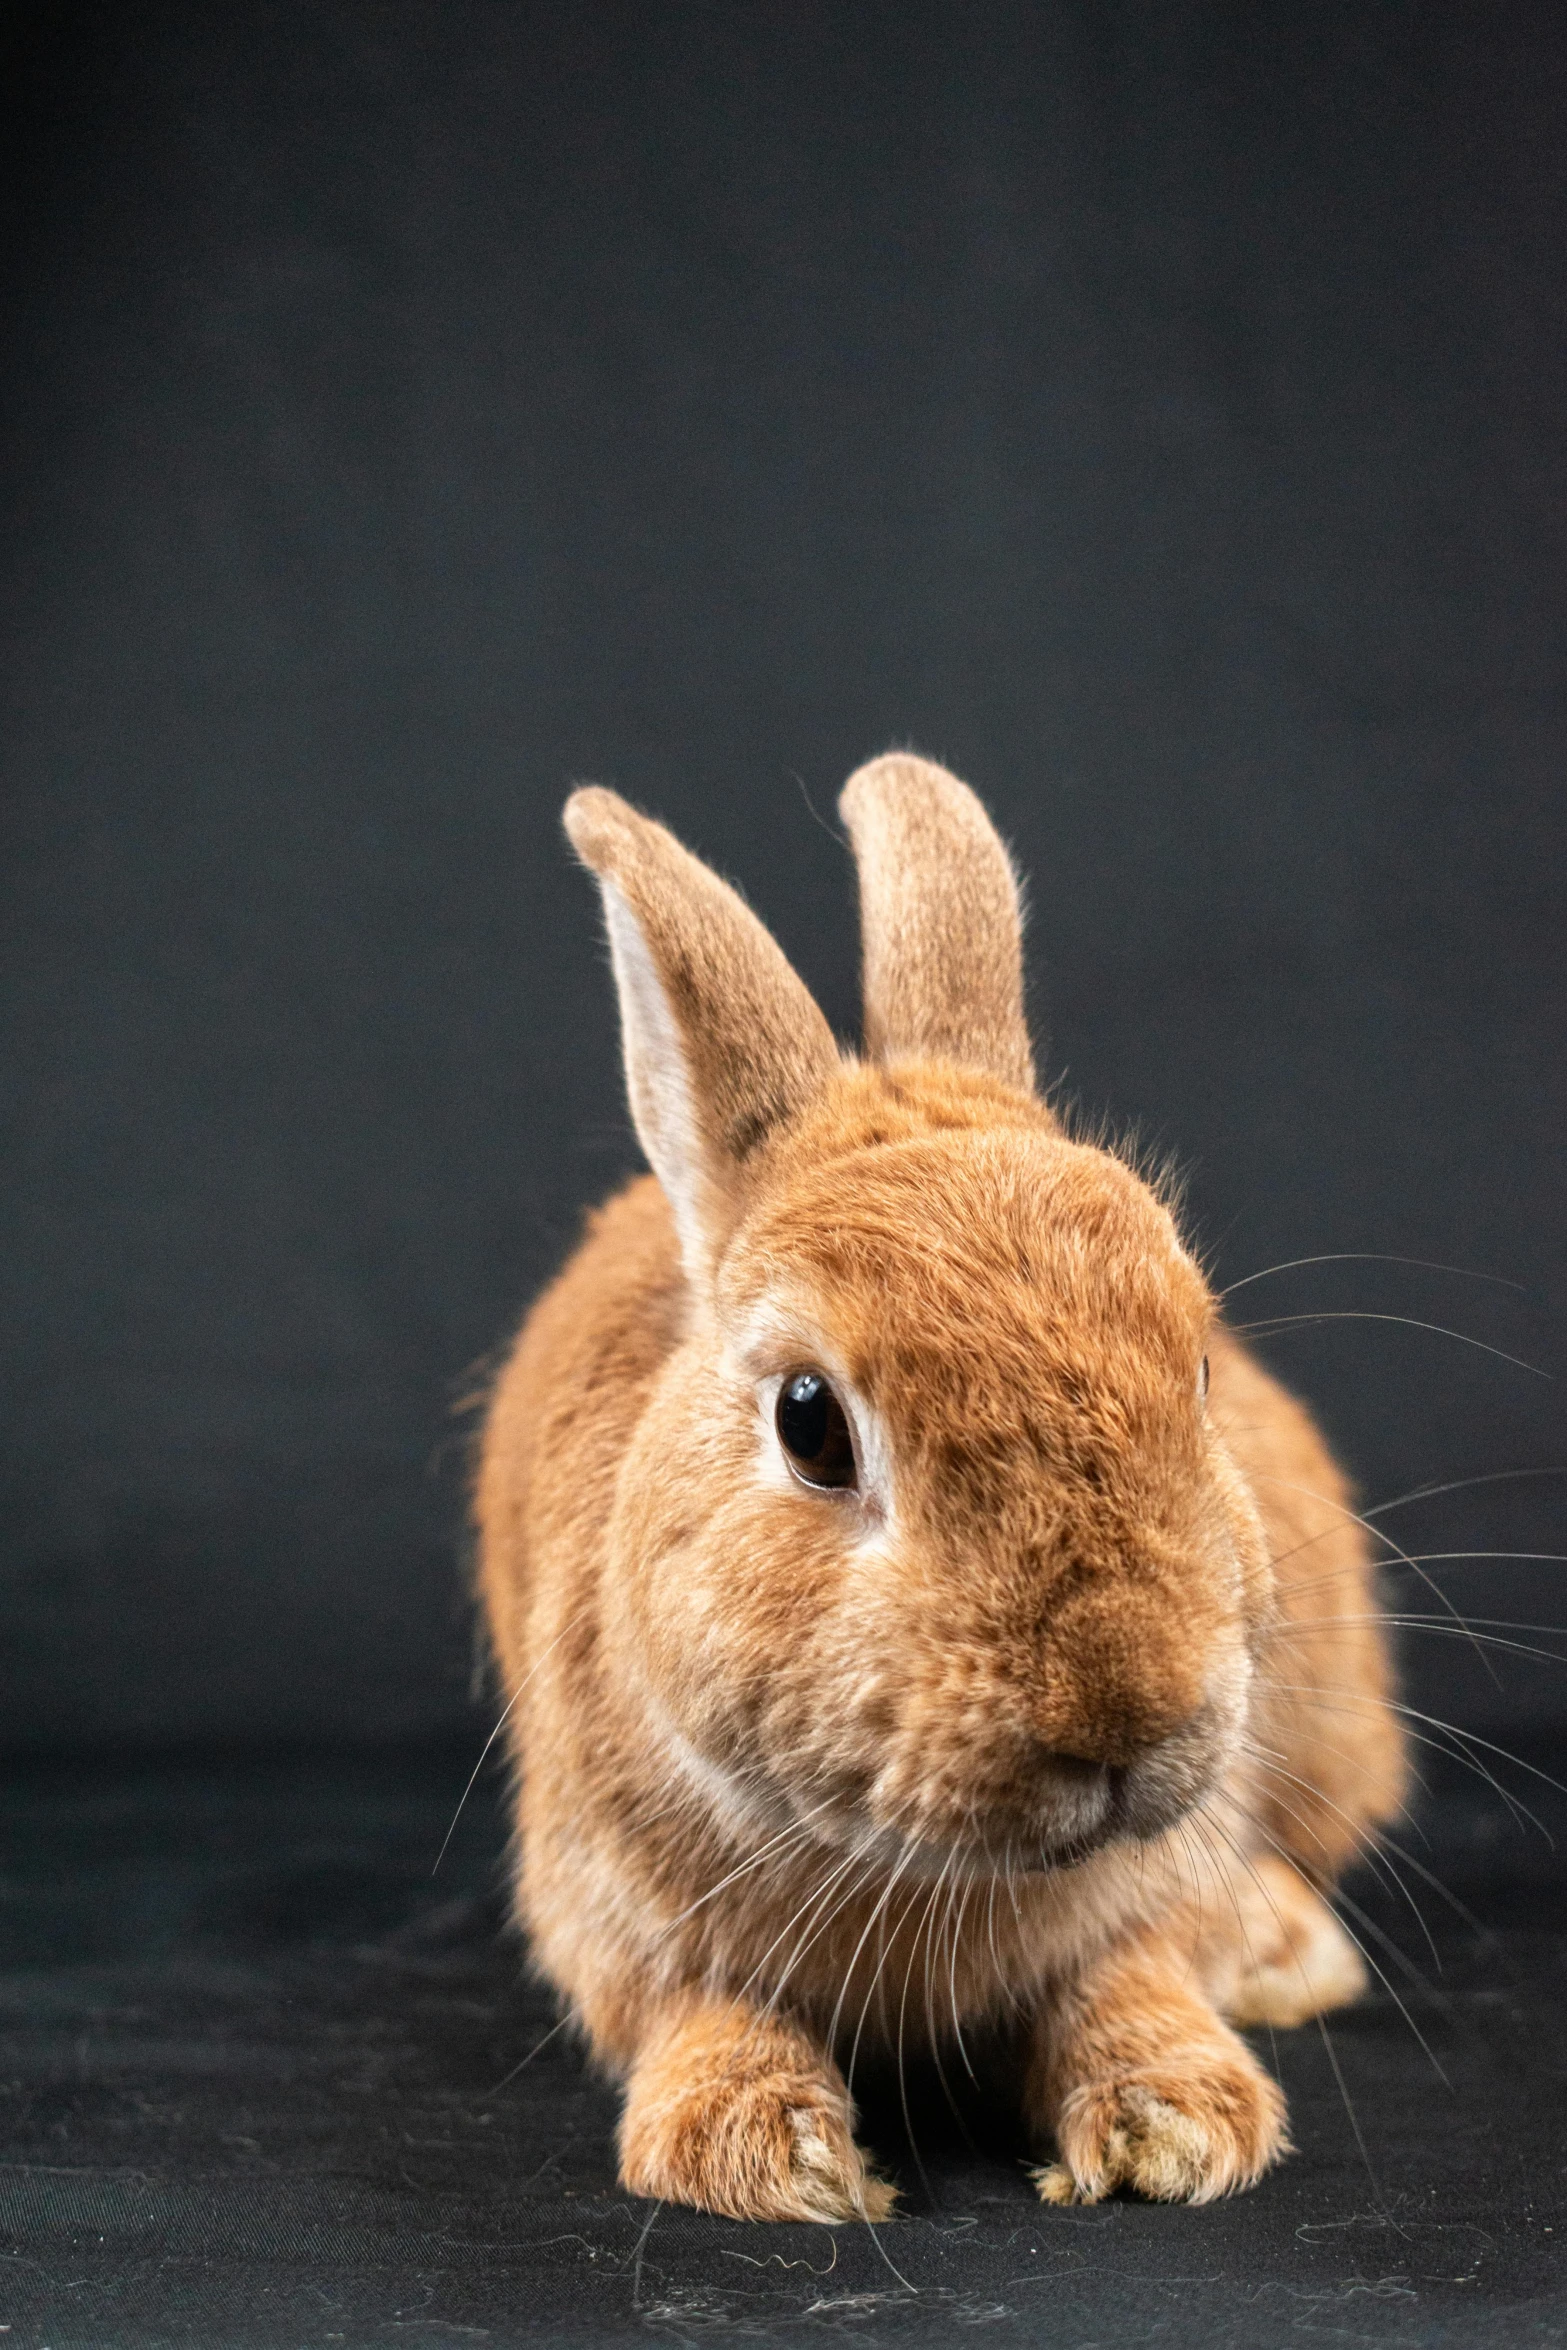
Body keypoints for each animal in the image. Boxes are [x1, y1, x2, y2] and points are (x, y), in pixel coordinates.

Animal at [472, 756, 1400, 2218]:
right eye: (809, 1422)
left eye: (1194, 1362)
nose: (1125, 1706)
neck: (917, 1871)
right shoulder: (607, 1909)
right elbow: (691, 2011)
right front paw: (766, 2151)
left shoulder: (1154, 1889)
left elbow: (1133, 1971)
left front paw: (1175, 2122)